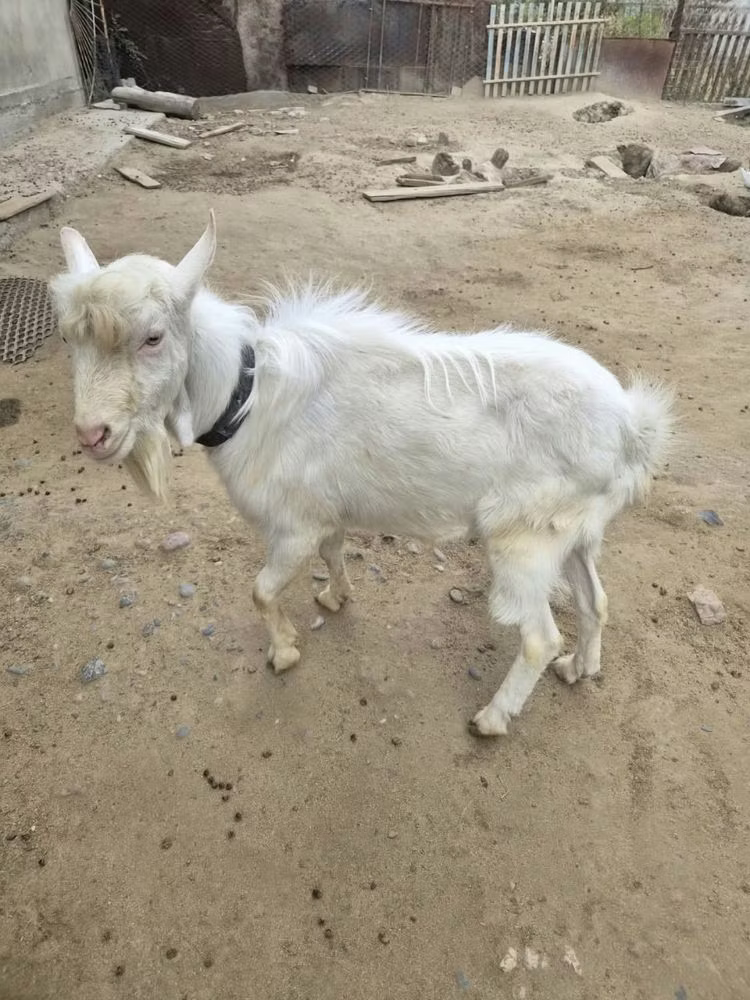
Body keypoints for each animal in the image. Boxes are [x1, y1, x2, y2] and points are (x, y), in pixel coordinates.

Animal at [50, 211, 672, 736]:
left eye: (153, 337)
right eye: (69, 338)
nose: (92, 434)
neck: (246, 397)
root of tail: (632, 427)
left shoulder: (291, 526)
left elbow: (261, 590)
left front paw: (283, 652)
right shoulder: (325, 512)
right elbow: (334, 553)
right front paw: (335, 598)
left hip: (525, 539)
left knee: (540, 637)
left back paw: (494, 717)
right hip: (576, 530)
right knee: (595, 601)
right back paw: (580, 669)